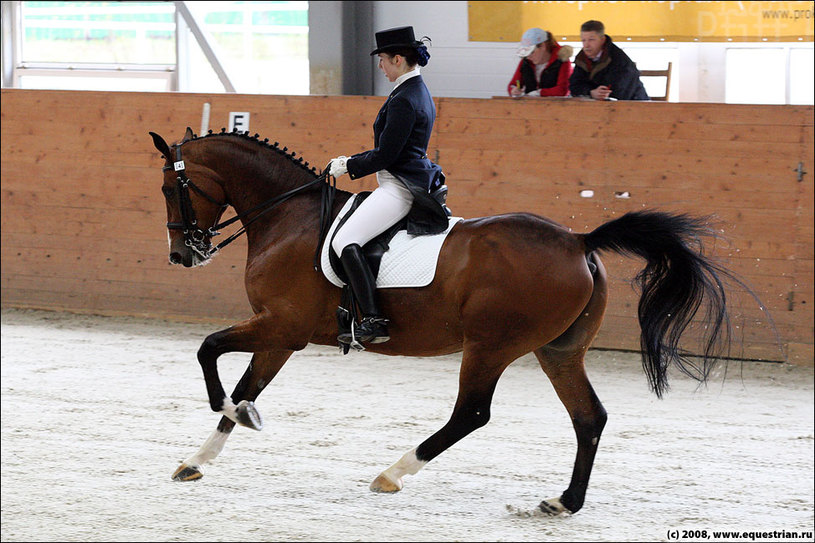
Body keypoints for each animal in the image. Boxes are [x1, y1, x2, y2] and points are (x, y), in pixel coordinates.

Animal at [151, 129, 744, 520]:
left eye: (171, 189)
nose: (182, 255)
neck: (286, 217)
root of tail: (579, 242)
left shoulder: (282, 326)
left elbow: (209, 352)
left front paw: (237, 415)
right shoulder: (280, 334)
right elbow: (246, 384)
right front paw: (197, 459)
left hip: (490, 346)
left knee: (472, 414)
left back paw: (392, 473)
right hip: (557, 351)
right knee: (588, 417)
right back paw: (564, 501)